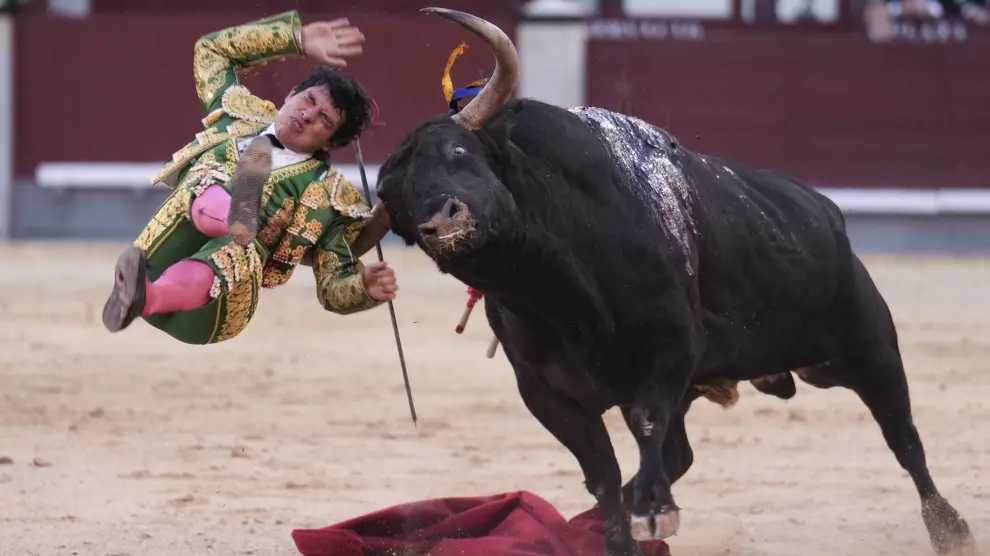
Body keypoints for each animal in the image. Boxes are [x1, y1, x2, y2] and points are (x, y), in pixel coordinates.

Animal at [362, 5, 976, 556]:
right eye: (397, 203)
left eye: (459, 151)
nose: (443, 221)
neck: (559, 291)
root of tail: (828, 212)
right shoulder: (545, 390)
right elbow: (602, 469)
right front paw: (618, 534)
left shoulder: (672, 344)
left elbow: (644, 420)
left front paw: (653, 513)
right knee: (679, 453)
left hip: (869, 346)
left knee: (904, 437)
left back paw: (952, 531)